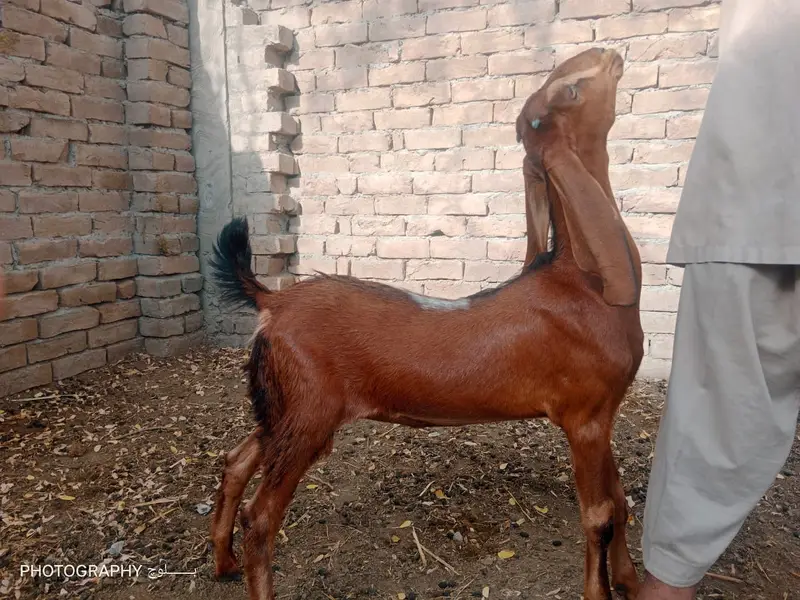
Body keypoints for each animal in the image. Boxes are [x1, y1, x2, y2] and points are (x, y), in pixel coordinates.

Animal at [208, 47, 644, 600]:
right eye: (570, 89)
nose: (609, 54)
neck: (582, 281)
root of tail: (273, 301)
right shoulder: (584, 416)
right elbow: (599, 514)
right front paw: (602, 589)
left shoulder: (607, 411)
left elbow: (621, 501)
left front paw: (630, 580)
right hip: (309, 413)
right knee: (261, 516)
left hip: (281, 405)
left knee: (237, 459)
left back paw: (222, 561)